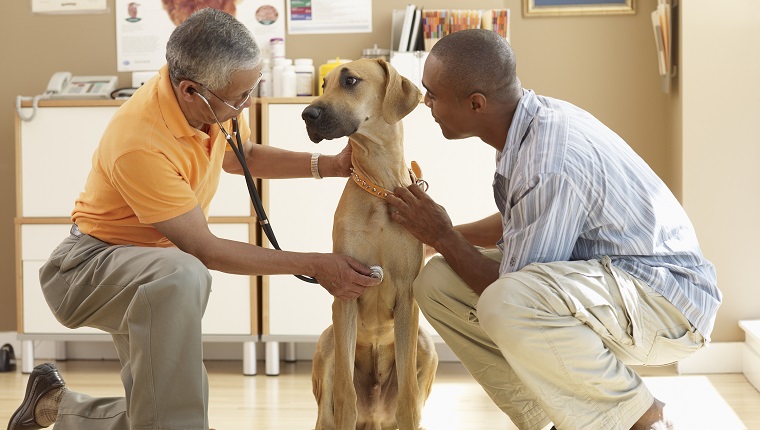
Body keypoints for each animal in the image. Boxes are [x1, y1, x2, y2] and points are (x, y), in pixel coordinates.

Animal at [300, 58, 436, 430]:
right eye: (324, 83)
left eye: (350, 80)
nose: (306, 114)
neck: (380, 188)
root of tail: (374, 417)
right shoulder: (345, 291)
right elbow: (345, 396)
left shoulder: (407, 299)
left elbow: (408, 399)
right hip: (328, 343)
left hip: (426, 344)